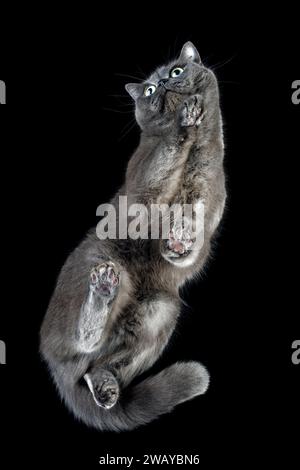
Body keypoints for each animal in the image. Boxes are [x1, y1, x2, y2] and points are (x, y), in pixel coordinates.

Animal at [41, 42, 226, 432]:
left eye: (176, 71)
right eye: (150, 90)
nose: (164, 85)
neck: (193, 151)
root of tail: (59, 371)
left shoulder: (209, 203)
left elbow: (194, 237)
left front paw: (178, 241)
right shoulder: (142, 185)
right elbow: (163, 158)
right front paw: (183, 120)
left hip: (159, 311)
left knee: (96, 365)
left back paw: (106, 386)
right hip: (96, 260)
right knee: (80, 340)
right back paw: (103, 289)